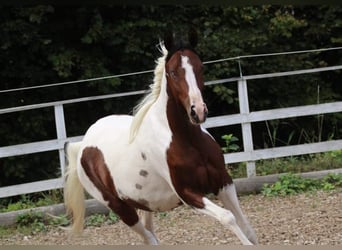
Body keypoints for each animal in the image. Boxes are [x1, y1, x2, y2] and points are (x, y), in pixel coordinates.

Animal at [63, 30, 256, 244]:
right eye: (172, 72)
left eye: (201, 67)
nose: (198, 111)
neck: (187, 140)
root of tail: (83, 146)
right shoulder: (188, 193)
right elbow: (228, 217)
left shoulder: (224, 182)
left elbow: (247, 227)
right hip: (120, 208)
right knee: (149, 238)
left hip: (145, 204)